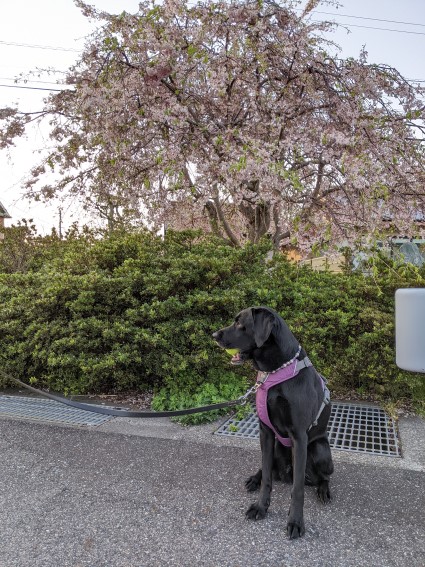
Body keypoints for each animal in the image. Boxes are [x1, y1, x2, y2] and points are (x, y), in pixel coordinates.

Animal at [212, 306, 334, 539]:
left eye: (239, 322)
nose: (214, 335)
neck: (276, 372)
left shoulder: (299, 436)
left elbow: (297, 489)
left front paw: (295, 522)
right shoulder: (266, 432)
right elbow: (268, 476)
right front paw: (261, 506)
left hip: (321, 450)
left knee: (324, 476)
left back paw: (324, 490)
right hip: (277, 445)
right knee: (268, 468)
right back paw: (255, 478)